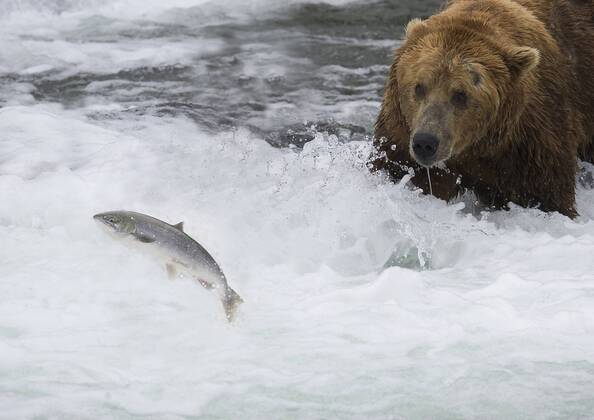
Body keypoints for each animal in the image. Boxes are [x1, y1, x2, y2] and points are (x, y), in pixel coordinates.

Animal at [372, 0, 588, 217]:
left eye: (460, 94)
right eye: (419, 87)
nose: (425, 142)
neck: (477, 147)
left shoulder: (532, 144)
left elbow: (547, 196)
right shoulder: (400, 133)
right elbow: (402, 169)